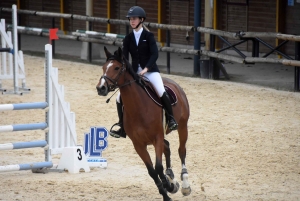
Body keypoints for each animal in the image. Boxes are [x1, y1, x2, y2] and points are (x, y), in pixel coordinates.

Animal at [95, 46, 191, 201]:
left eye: (116, 68)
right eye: (104, 67)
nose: (101, 88)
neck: (139, 108)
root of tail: (174, 84)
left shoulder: (157, 138)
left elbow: (158, 167)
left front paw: (168, 186)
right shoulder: (138, 144)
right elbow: (152, 171)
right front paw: (167, 190)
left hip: (182, 127)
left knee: (181, 151)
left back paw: (185, 185)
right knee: (167, 147)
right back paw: (171, 177)